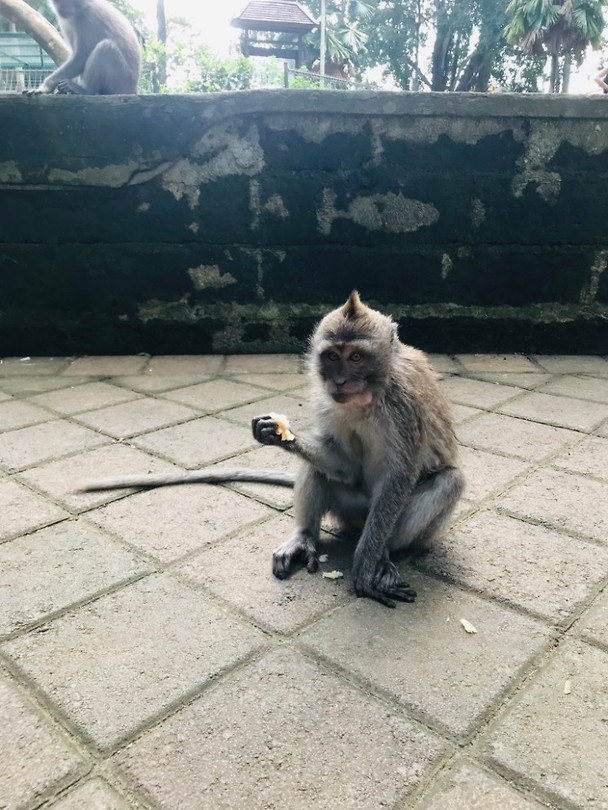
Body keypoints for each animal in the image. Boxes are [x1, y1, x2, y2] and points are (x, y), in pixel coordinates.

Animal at [82, 292, 464, 608]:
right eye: (332, 357)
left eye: (356, 356)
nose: (339, 380)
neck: (368, 396)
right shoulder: (326, 401)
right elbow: (343, 464)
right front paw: (278, 435)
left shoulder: (404, 405)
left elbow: (399, 476)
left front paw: (367, 564)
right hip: (348, 509)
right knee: (320, 469)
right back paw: (304, 538)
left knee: (449, 481)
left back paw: (383, 552)